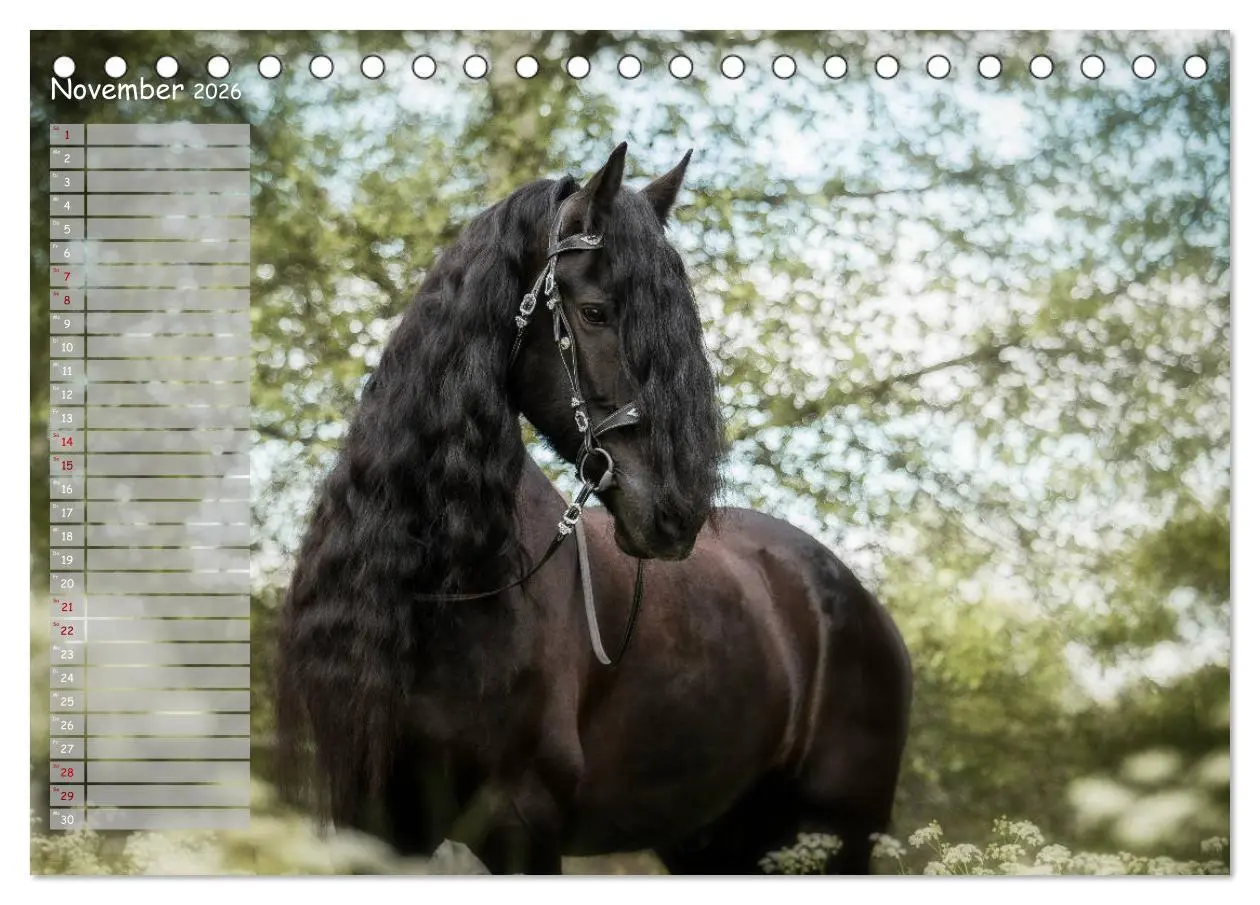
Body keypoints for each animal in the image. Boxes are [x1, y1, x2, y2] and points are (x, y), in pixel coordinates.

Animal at [274, 143, 913, 875]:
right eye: (597, 312)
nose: (674, 512)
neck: (444, 589)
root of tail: (862, 605)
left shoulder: (523, 825)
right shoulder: (376, 820)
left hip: (836, 838)